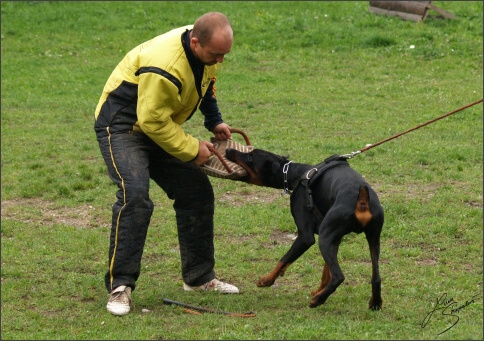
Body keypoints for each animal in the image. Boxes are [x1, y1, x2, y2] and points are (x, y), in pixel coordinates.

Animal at [225, 147, 384, 310]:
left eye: (251, 157)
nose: (228, 149)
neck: (295, 174)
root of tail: (362, 200)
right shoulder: (335, 238)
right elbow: (326, 271)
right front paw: (318, 290)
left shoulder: (306, 236)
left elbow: (284, 260)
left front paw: (266, 280)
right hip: (373, 239)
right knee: (376, 277)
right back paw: (375, 302)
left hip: (325, 239)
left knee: (339, 276)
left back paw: (318, 300)